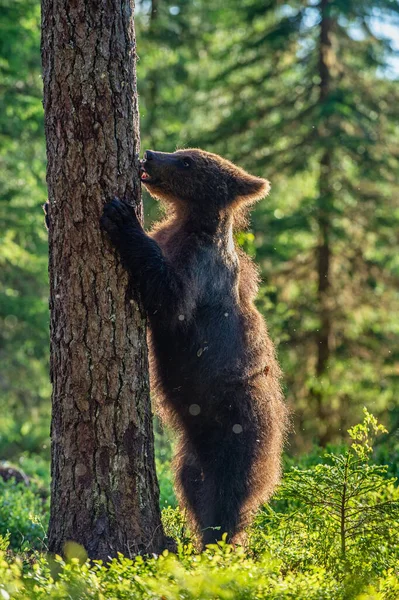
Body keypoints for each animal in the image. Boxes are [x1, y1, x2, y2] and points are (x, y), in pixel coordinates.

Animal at [100, 148, 288, 548]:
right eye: (180, 151)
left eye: (187, 161)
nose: (150, 154)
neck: (190, 222)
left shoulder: (199, 273)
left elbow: (169, 298)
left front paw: (122, 218)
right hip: (194, 451)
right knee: (194, 486)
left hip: (238, 430)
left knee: (228, 498)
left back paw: (217, 546)